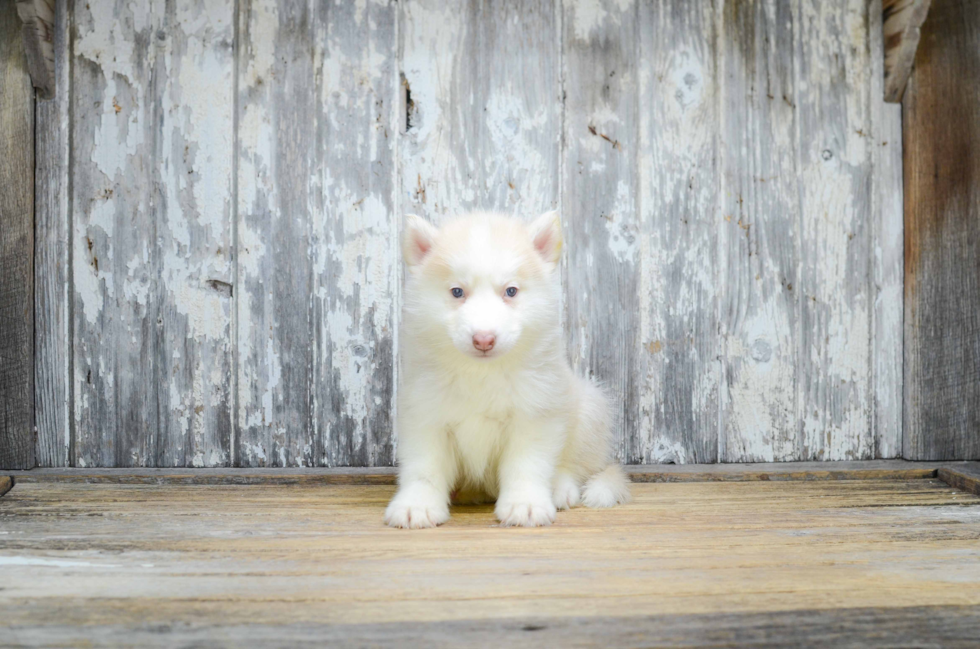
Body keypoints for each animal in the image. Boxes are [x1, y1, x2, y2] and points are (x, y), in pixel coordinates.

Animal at [382, 209, 628, 528]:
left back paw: (560, 489)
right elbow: (423, 468)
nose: (483, 339)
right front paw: (417, 504)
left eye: (510, 291)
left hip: (589, 410)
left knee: (574, 465)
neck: (481, 372)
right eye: (457, 292)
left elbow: (526, 466)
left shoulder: (533, 414)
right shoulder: (426, 414)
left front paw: (525, 504)